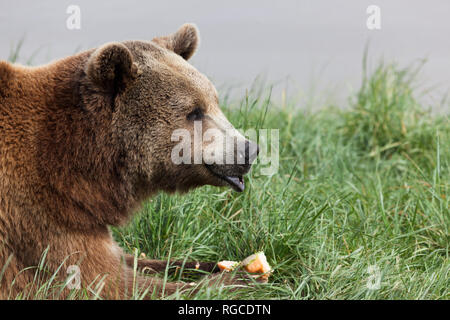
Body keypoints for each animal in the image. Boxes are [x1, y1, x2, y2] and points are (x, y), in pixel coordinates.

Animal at [0, 23, 258, 298]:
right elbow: (106, 282)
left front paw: (216, 264)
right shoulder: (38, 220)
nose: (249, 149)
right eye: (194, 112)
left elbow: (134, 260)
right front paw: (238, 280)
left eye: (214, 101)